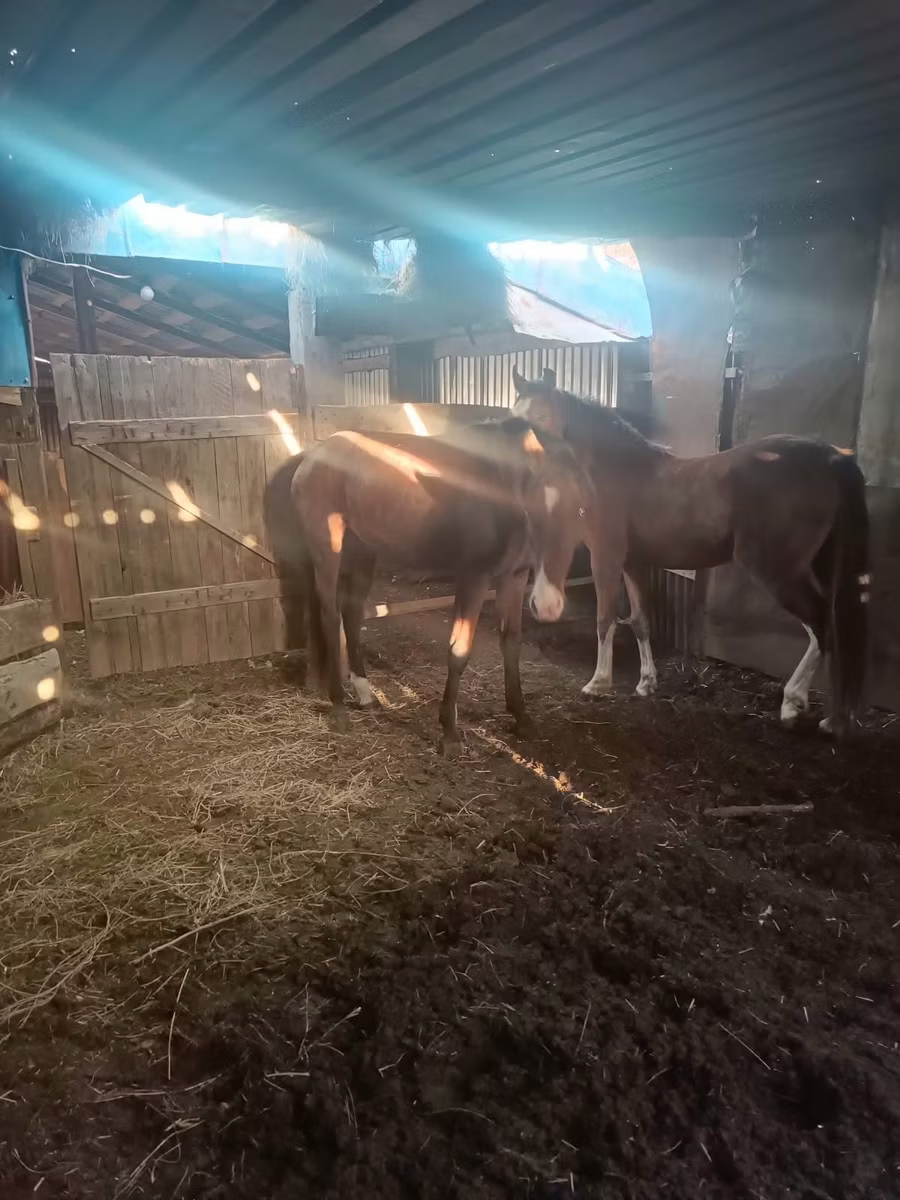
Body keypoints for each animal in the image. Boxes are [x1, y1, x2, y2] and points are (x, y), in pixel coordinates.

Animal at [263, 417, 589, 753]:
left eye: (580, 510)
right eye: (532, 509)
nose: (549, 605)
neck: (500, 485)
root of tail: (311, 457)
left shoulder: (514, 576)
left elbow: (511, 642)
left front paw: (522, 719)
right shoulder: (474, 577)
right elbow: (459, 650)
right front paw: (449, 733)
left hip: (363, 552)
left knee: (351, 614)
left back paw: (366, 696)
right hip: (328, 551)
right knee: (330, 616)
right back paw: (340, 710)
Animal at [511, 368, 870, 737]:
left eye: (541, 418)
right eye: (514, 415)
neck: (613, 470)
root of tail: (832, 456)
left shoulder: (605, 557)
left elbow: (605, 617)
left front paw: (598, 683)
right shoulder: (633, 563)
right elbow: (640, 621)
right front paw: (646, 683)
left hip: (778, 570)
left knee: (821, 624)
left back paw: (792, 703)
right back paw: (832, 718)